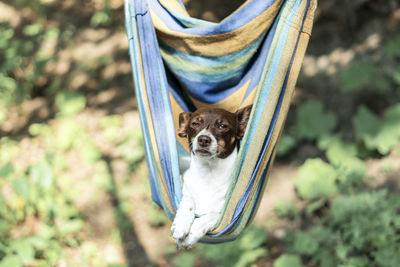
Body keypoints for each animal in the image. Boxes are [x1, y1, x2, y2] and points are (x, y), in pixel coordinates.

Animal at [170, 104, 252, 249]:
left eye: (222, 126)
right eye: (195, 123)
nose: (203, 139)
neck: (208, 173)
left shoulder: (224, 212)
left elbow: (212, 215)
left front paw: (191, 235)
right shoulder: (185, 185)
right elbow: (188, 199)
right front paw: (181, 224)